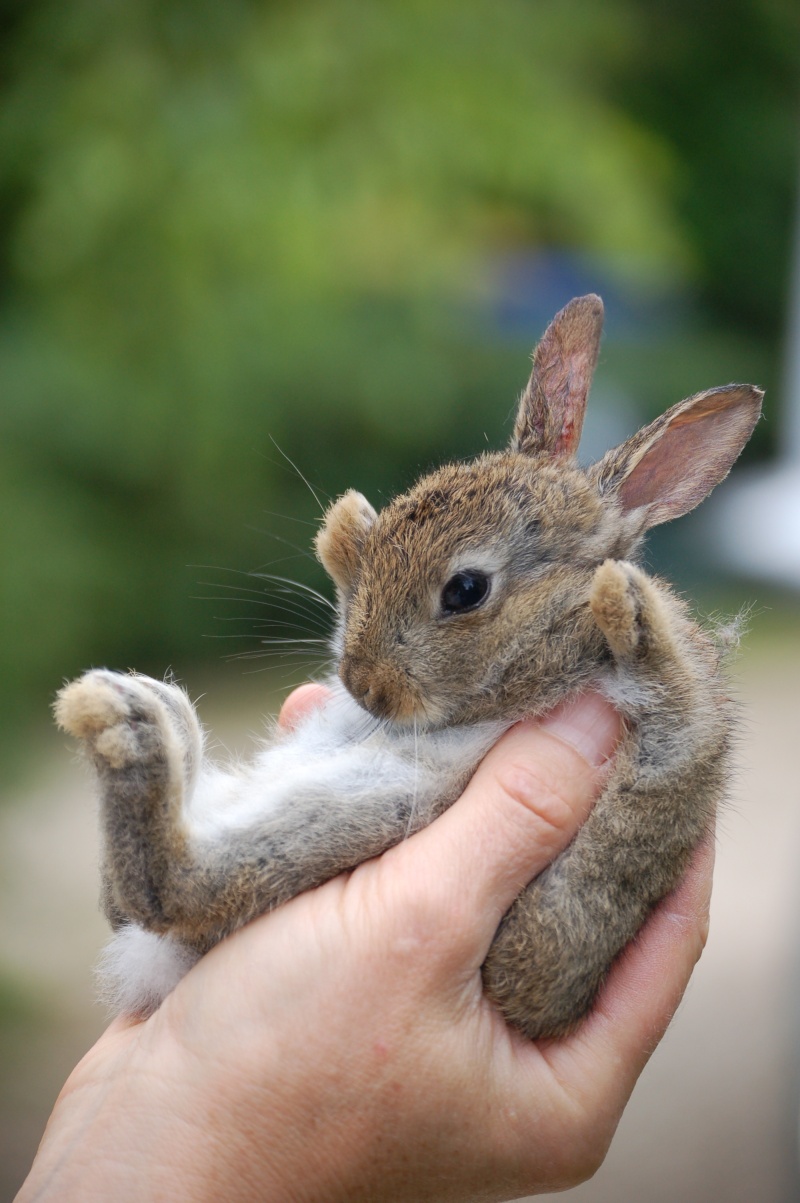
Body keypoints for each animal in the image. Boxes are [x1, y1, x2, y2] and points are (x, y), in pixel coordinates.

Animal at [56, 295, 760, 1039]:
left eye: (466, 590)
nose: (364, 689)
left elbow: (674, 724)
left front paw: (629, 603)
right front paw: (345, 531)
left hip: (354, 815)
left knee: (169, 890)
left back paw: (126, 721)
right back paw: (154, 709)